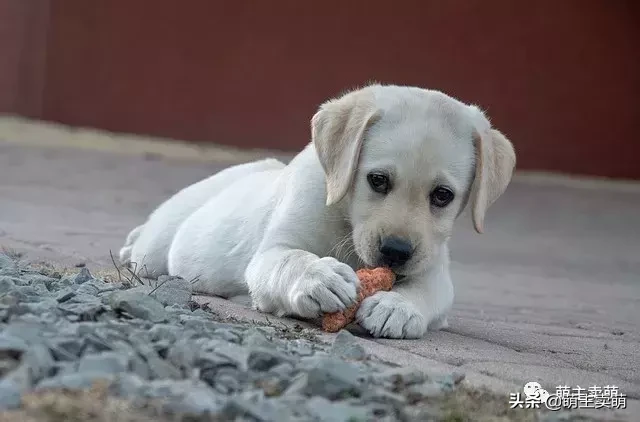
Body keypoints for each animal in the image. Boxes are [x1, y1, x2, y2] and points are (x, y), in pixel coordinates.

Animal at [120, 85, 516, 340]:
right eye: (377, 180)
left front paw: (398, 307)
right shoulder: (271, 253)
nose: (396, 252)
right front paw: (319, 277)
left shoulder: (434, 270)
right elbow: (291, 259)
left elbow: (426, 292)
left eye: (442, 196)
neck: (345, 219)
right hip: (157, 248)